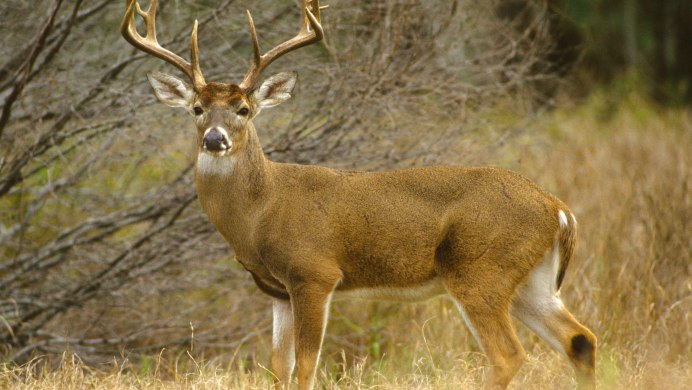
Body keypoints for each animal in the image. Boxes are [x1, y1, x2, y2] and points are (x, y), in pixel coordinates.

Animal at [120, 0, 596, 390]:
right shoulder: (276, 290)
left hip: (480, 269)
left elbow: (305, 369)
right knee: (580, 339)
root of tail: (558, 208)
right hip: (531, 280)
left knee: (508, 354)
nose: (215, 139)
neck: (261, 211)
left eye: (244, 109)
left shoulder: (314, 273)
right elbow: (277, 368)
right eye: (197, 109)